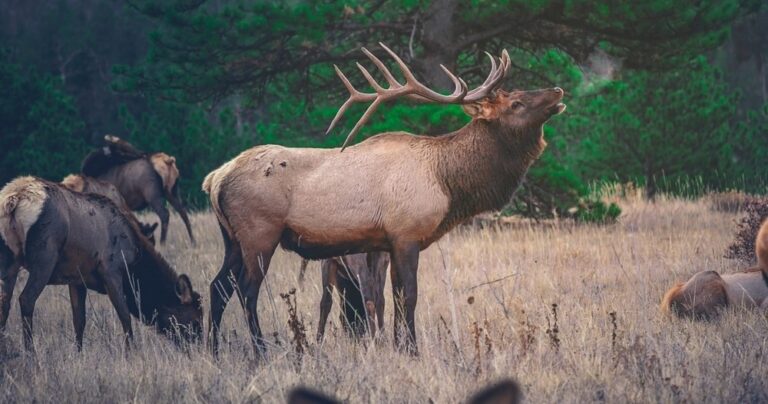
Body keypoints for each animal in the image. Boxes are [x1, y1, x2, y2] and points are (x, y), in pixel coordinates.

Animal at [0, 177, 203, 351]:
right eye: (195, 319)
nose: (200, 347)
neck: (134, 261)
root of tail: (13, 200)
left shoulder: (76, 279)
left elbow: (79, 320)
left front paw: (79, 353)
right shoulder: (111, 271)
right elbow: (125, 316)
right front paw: (131, 353)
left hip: (10, 261)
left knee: (4, 303)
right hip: (45, 256)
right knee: (26, 299)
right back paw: (30, 353)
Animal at [203, 43, 566, 356]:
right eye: (515, 103)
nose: (558, 91)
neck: (447, 182)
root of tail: (215, 179)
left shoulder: (387, 242)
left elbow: (392, 297)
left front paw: (398, 346)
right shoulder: (406, 234)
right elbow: (410, 296)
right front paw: (413, 350)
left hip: (232, 238)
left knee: (217, 286)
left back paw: (213, 350)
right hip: (260, 233)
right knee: (246, 291)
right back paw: (260, 351)